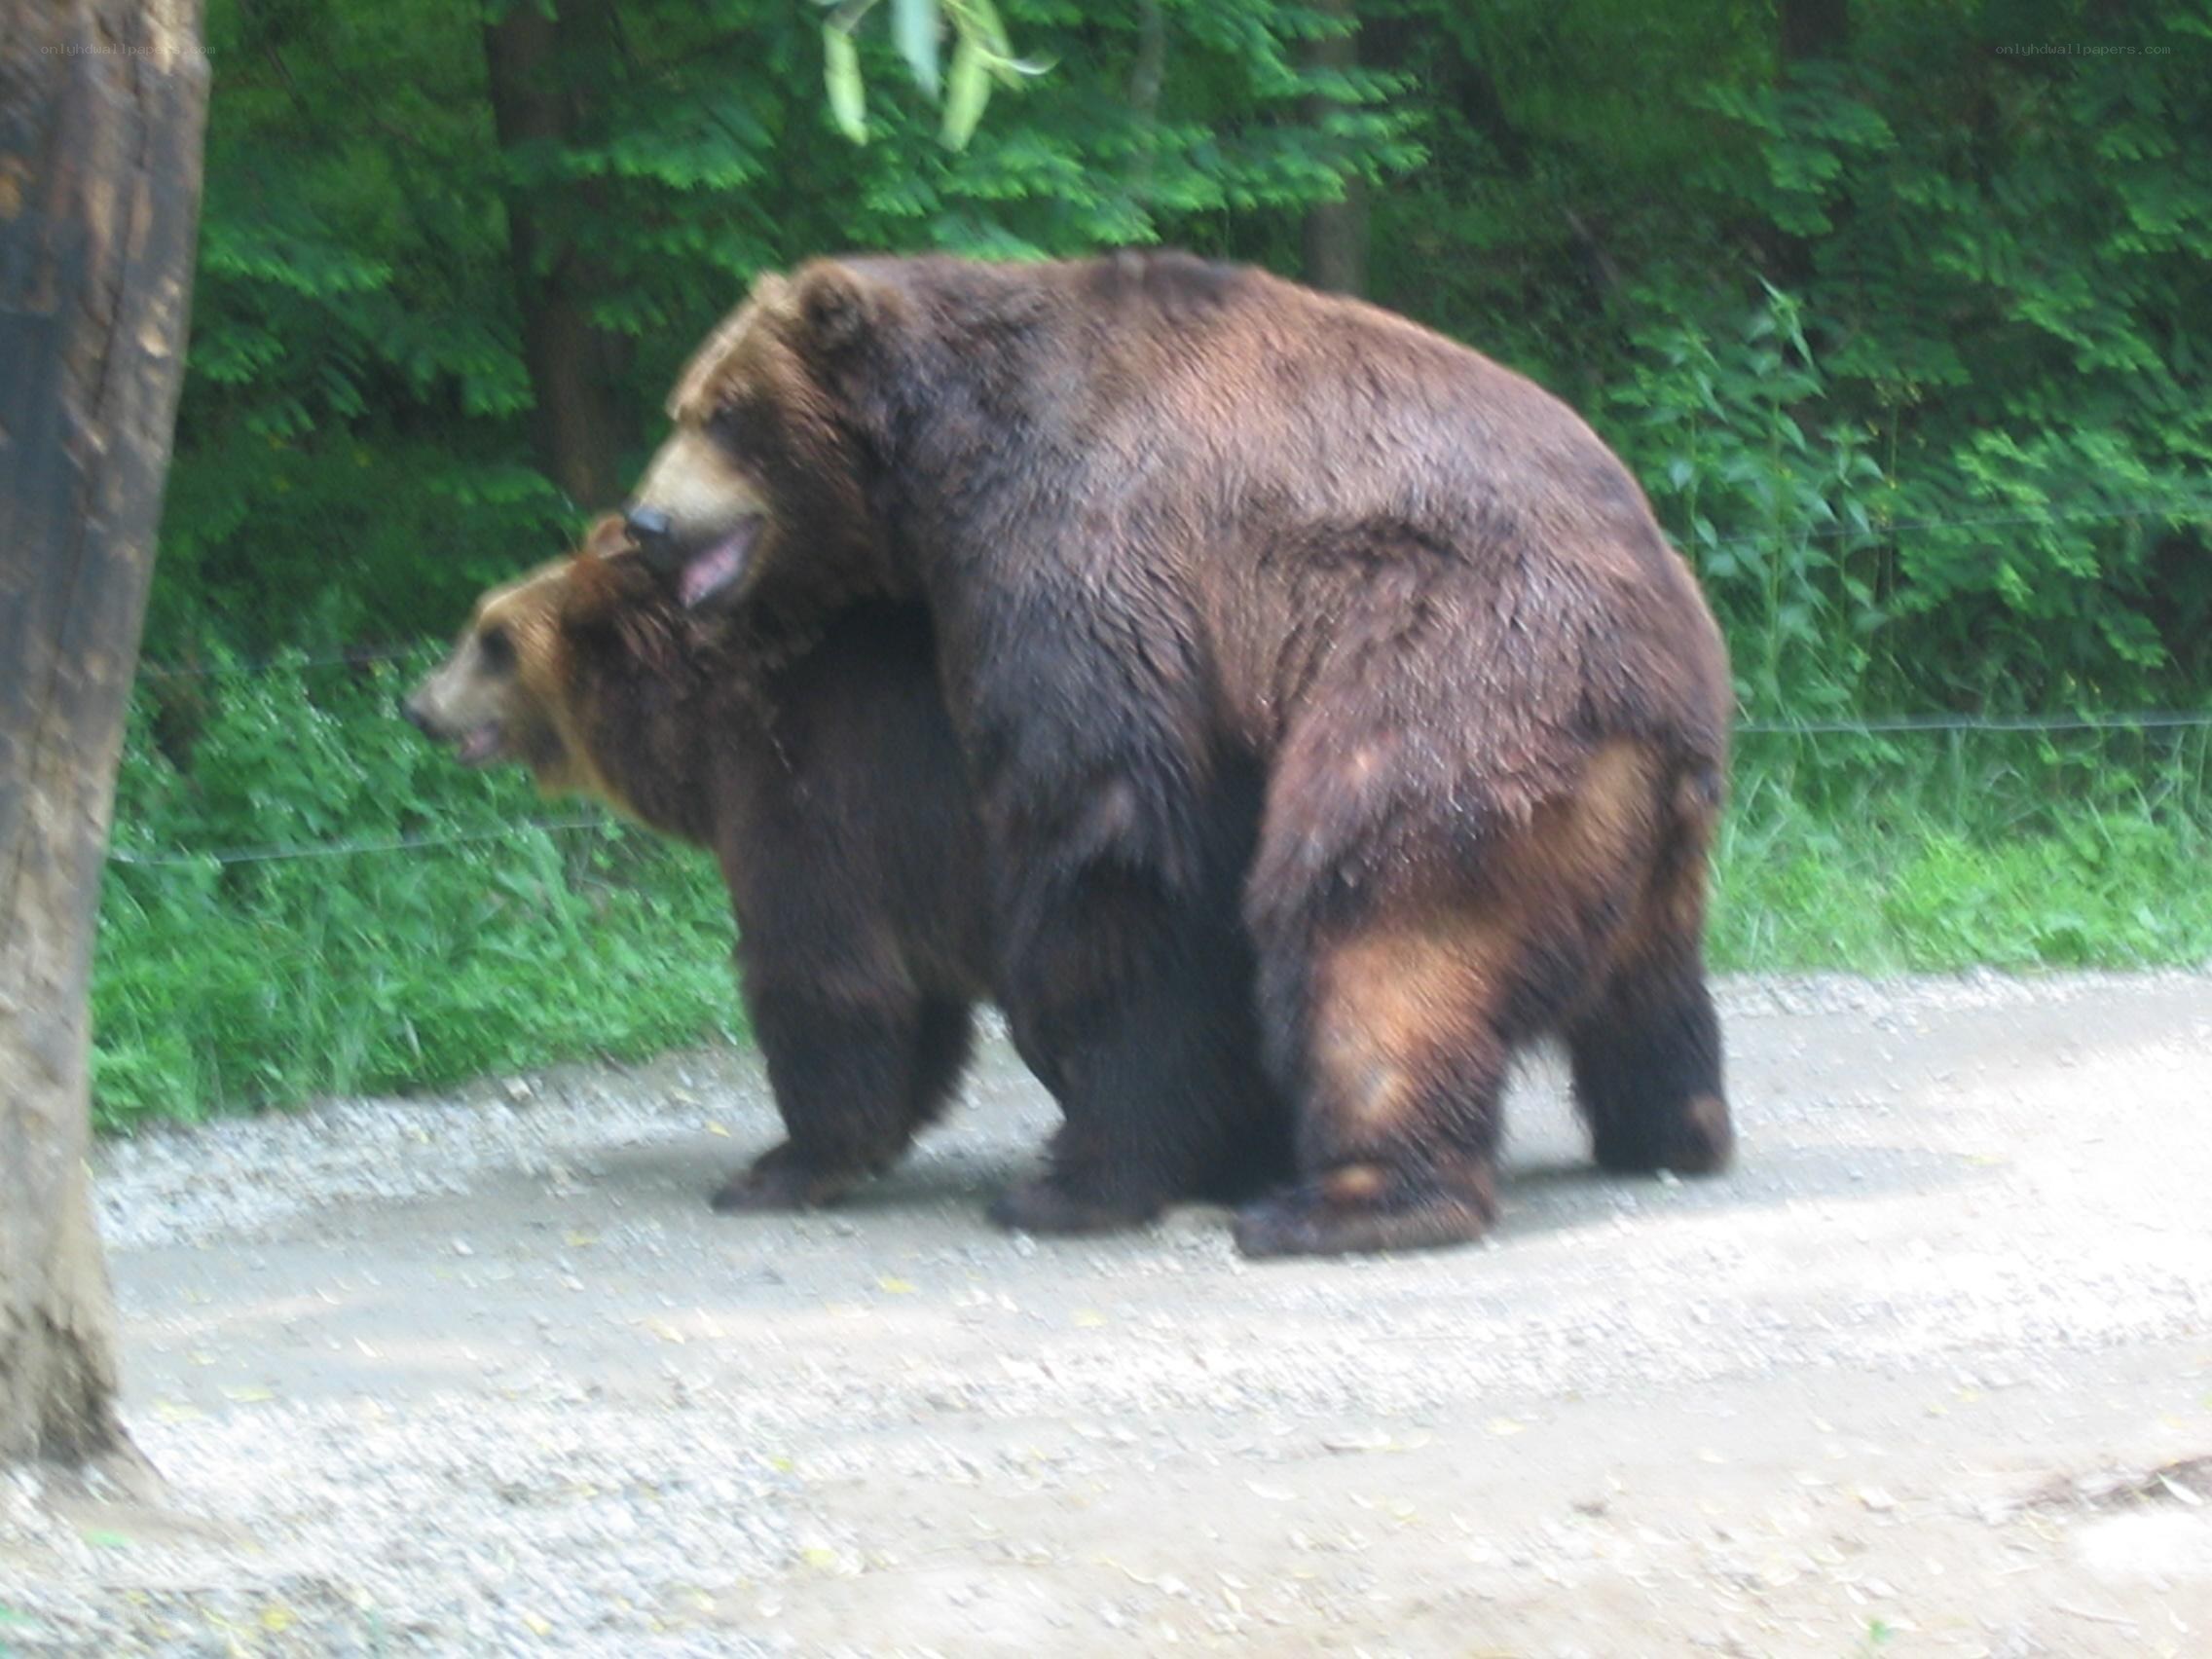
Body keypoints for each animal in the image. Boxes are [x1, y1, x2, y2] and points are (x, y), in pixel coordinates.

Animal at [405, 517, 1291, 1217]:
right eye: (478, 625)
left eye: (494, 643)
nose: (418, 704)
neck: (705, 726)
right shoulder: (910, 867)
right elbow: (913, 1005)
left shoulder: (820, 791)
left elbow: (822, 976)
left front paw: (778, 1169)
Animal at [620, 251, 1736, 1259]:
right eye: (681, 404)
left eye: (724, 413)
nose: (646, 522)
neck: (945, 457)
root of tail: (1674, 671)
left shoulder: (1076, 550)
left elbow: (1112, 838)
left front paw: (1077, 1171)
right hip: (1633, 813)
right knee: (1648, 977)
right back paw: (1672, 1128)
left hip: (1460, 677)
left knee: (1375, 921)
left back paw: (1351, 1200)